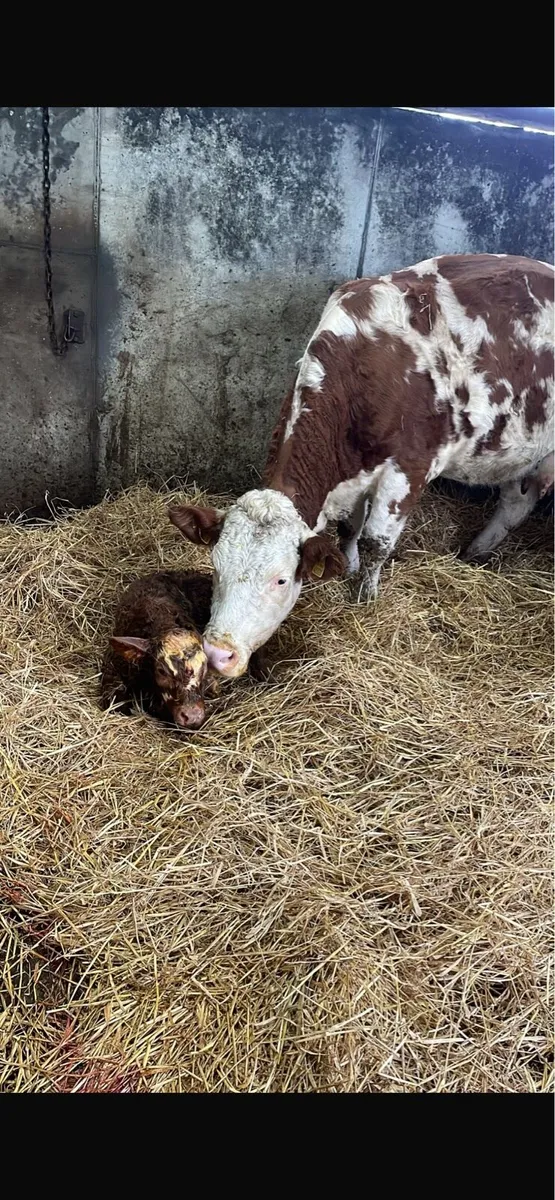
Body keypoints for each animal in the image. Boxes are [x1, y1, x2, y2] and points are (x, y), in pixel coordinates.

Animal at [169, 254, 554, 679]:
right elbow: (348, 527)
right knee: (516, 502)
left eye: (281, 580)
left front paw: (365, 597)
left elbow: (376, 542)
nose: (218, 654)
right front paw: (348, 566)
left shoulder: (409, 468)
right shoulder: (354, 472)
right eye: (215, 567)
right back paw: (475, 552)